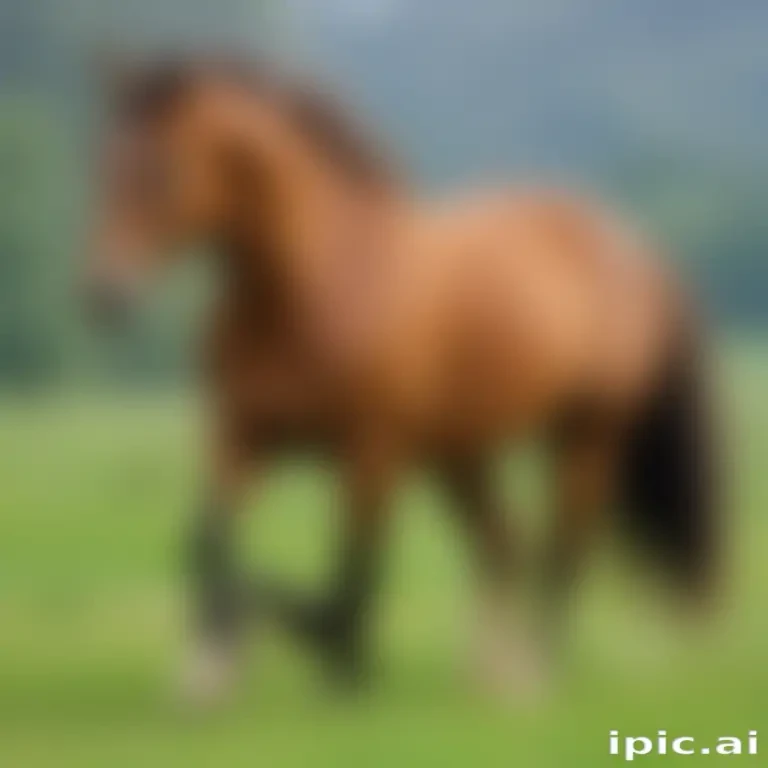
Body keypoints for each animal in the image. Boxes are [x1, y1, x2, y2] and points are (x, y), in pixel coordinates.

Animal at [85, 57, 717, 704]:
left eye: (160, 174)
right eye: (105, 164)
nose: (103, 293)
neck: (313, 292)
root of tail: (631, 250)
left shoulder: (371, 450)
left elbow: (346, 580)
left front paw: (339, 668)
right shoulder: (241, 438)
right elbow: (206, 542)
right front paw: (208, 669)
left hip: (586, 438)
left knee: (563, 550)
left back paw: (530, 673)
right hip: (461, 455)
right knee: (504, 544)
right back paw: (489, 674)